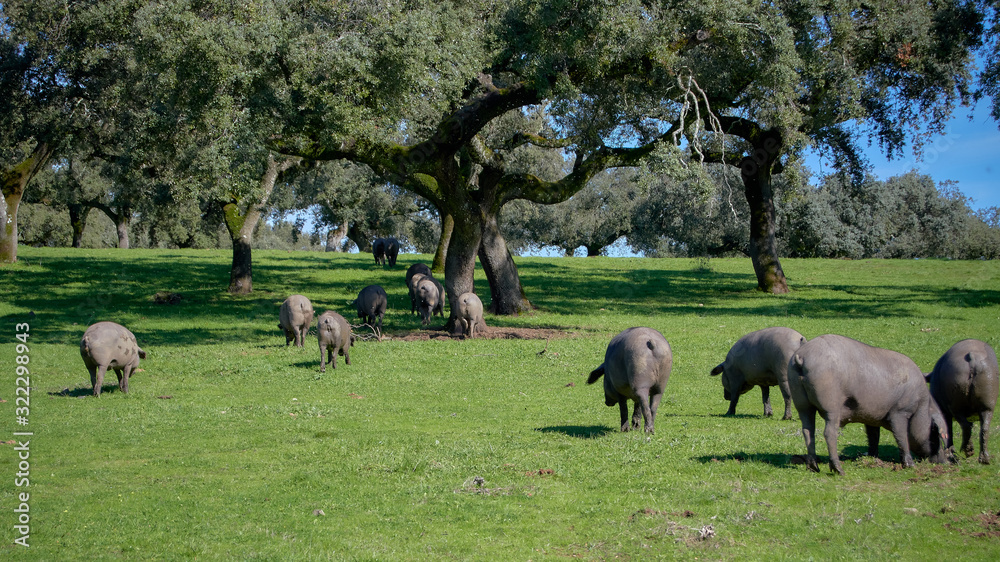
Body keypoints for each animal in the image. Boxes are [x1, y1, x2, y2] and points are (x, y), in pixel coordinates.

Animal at [788, 332, 944, 472]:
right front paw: (911, 466)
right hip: (830, 405)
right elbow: (901, 436)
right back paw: (838, 470)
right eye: (934, 435)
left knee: (808, 430)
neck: (921, 405)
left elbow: (873, 436)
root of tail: (802, 357)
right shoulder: (899, 412)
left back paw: (813, 468)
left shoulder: (871, 417)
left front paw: (873, 457)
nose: (947, 461)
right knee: (829, 432)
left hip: (802, 404)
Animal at [924, 336, 996, 464]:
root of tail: (972, 357)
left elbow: (948, 430)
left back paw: (965, 452)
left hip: (956, 407)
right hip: (987, 406)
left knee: (967, 426)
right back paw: (983, 459)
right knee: (983, 429)